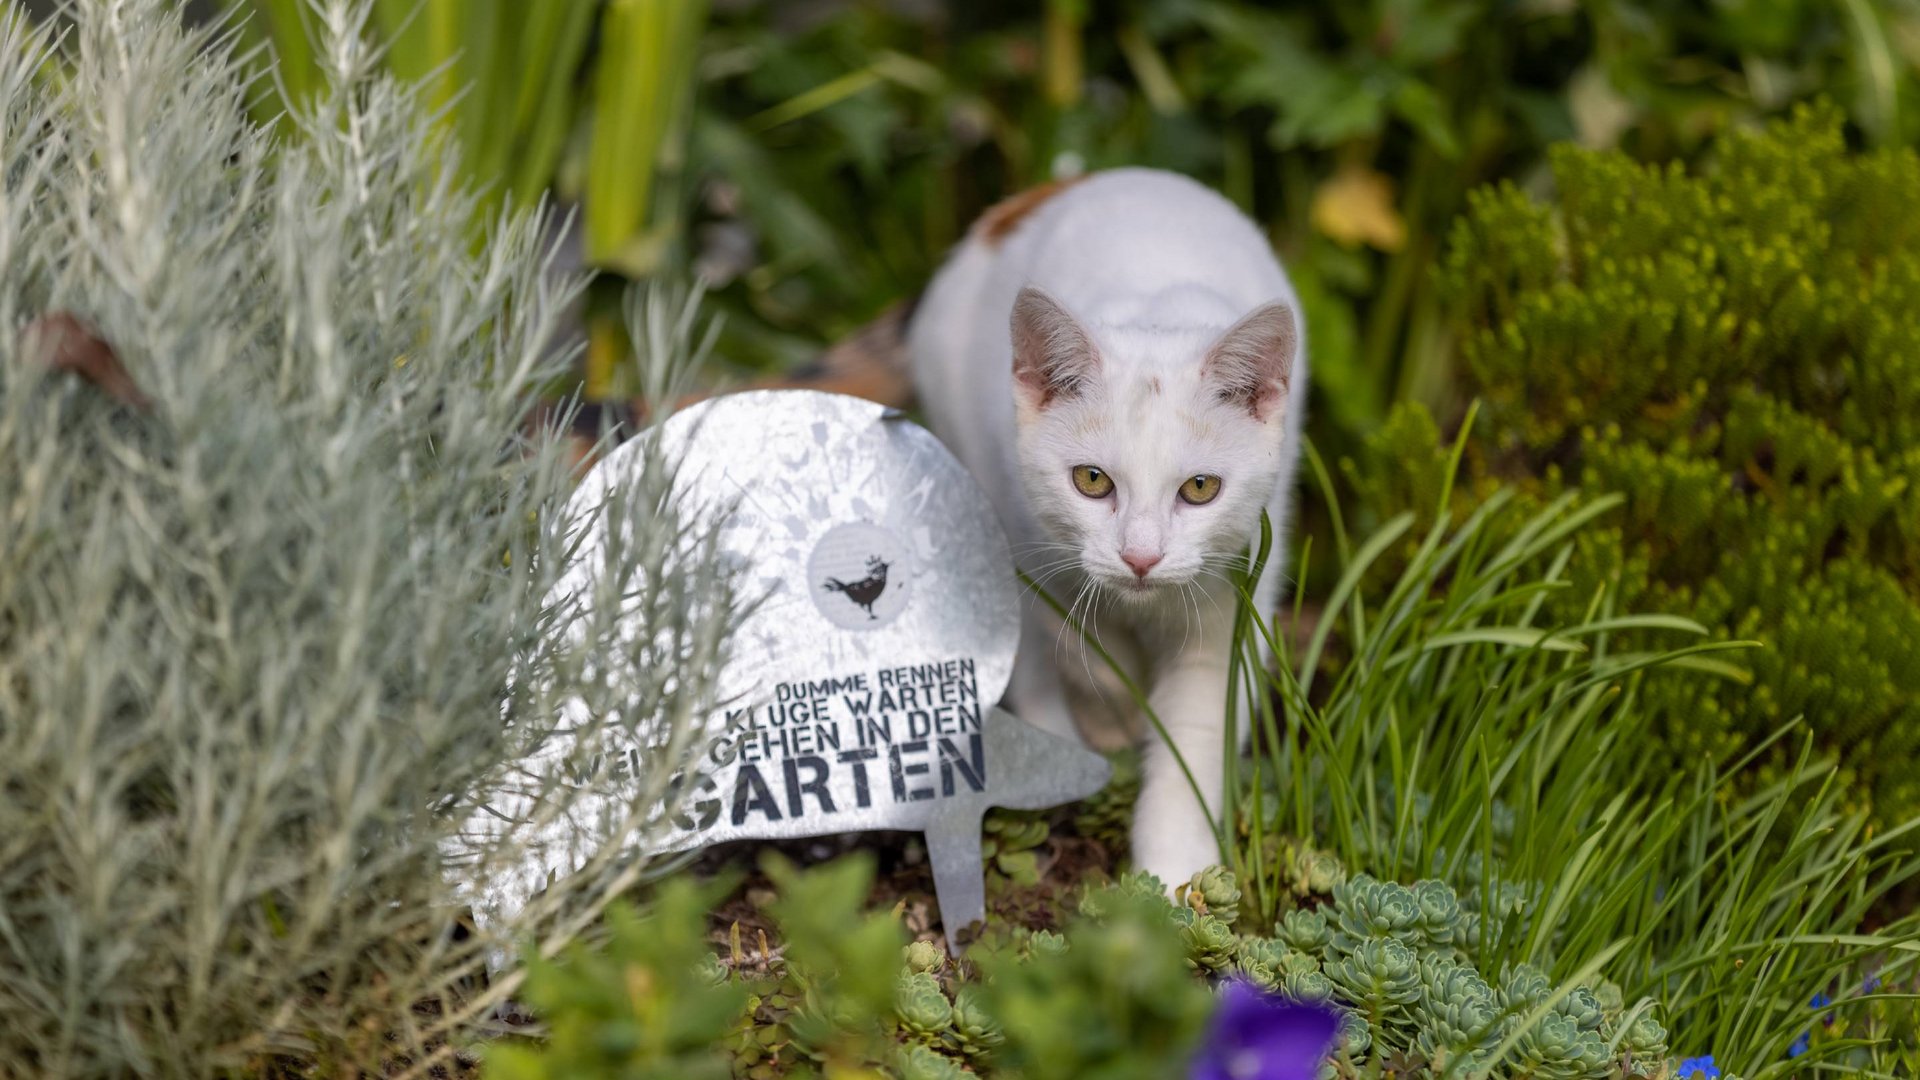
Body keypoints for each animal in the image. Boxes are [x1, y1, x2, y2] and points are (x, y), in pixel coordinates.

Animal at [898, 170, 1305, 891]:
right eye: (1091, 481)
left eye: (1201, 489)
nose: (1140, 557)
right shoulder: (1028, 530)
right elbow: (1080, 645)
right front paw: (1114, 717)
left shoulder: (1240, 583)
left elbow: (1197, 728)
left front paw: (1173, 873)